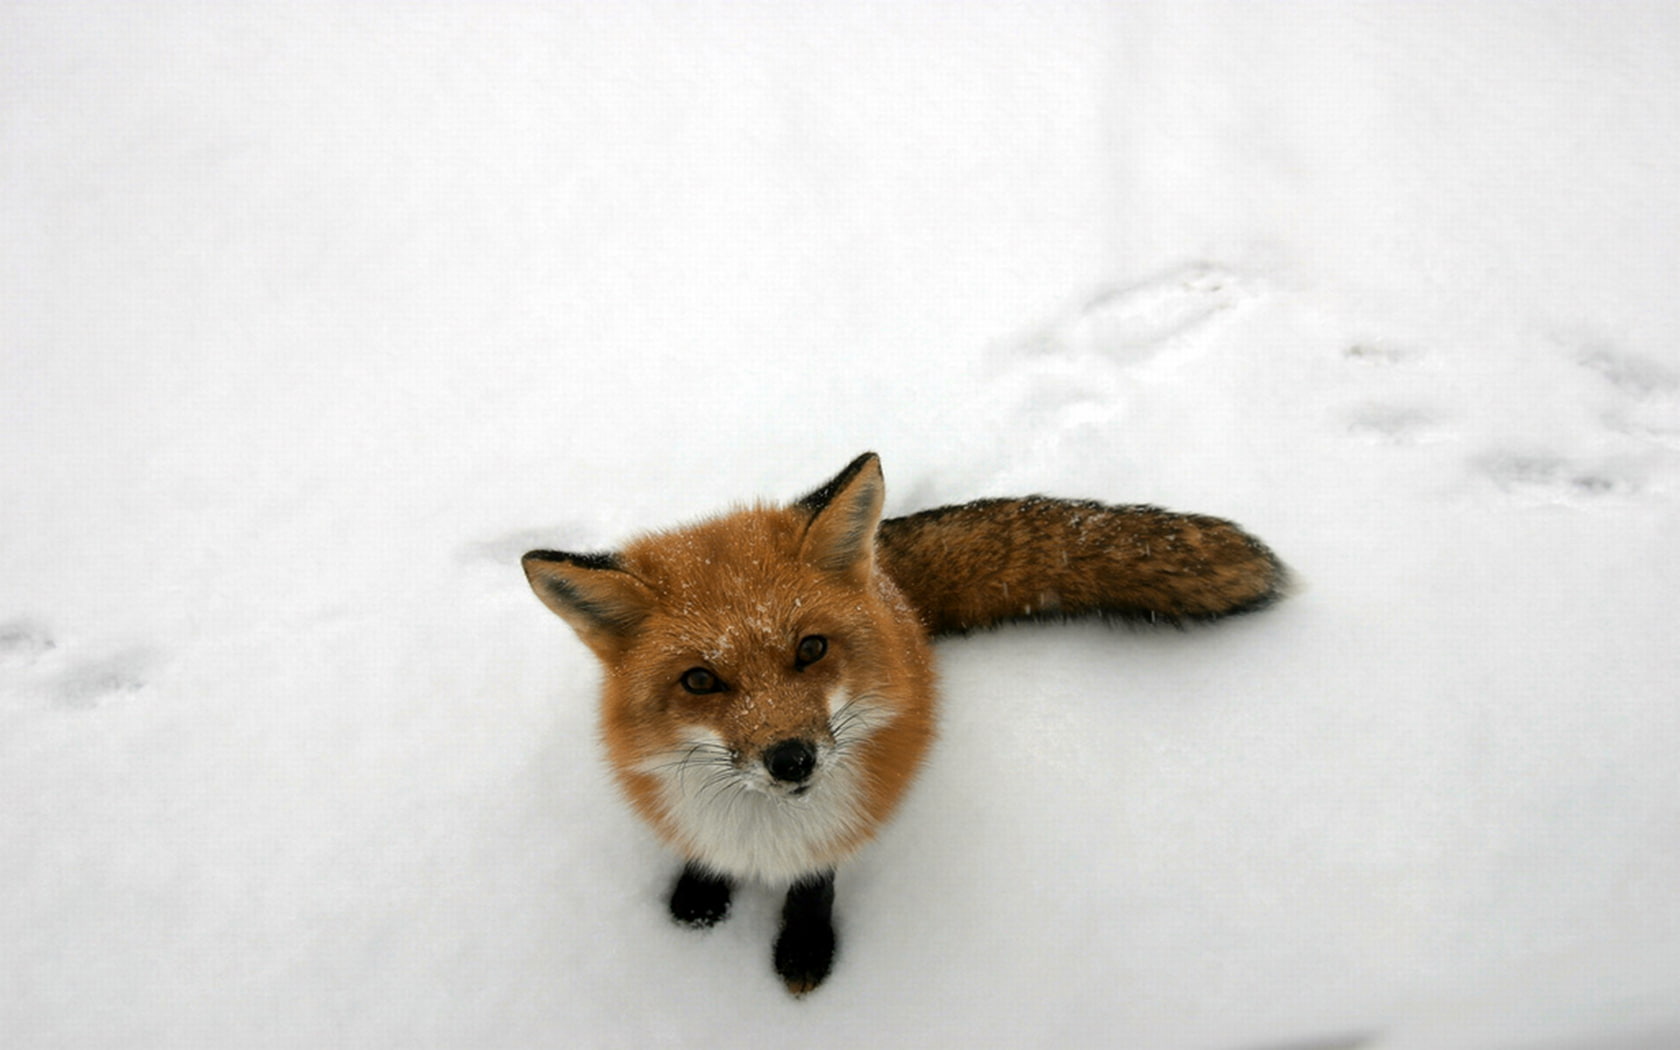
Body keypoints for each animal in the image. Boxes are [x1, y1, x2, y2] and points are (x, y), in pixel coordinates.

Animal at [521, 452, 1285, 995]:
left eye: (811, 649)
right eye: (700, 681)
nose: (792, 760)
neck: (766, 835)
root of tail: (888, 580)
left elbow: (816, 882)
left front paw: (805, 947)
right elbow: (701, 854)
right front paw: (699, 897)